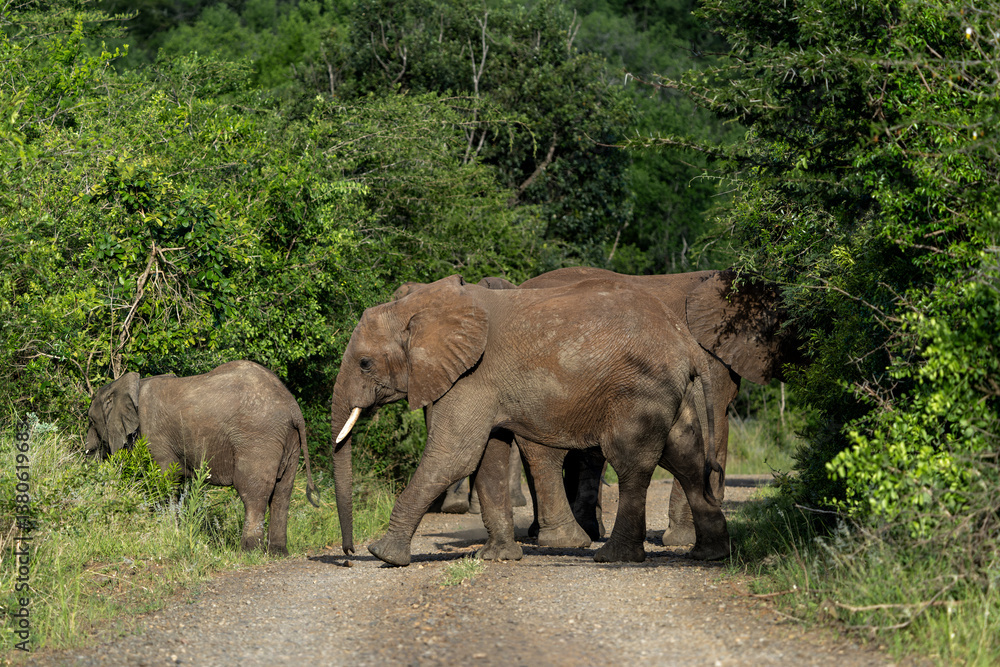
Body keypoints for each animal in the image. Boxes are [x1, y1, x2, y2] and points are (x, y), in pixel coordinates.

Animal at [85, 360, 319, 556]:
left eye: (91, 421)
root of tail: (293, 408)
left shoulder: (155, 437)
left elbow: (165, 481)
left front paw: (167, 532)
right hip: (290, 441)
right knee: (282, 493)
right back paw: (278, 552)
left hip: (258, 438)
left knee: (253, 492)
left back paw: (248, 552)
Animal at [330, 274, 728, 566]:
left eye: (364, 363)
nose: (348, 554)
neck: (419, 308)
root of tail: (686, 343)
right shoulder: (482, 385)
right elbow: (487, 458)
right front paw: (498, 558)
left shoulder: (471, 377)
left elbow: (453, 456)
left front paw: (384, 556)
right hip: (673, 392)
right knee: (686, 460)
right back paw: (709, 554)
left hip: (639, 390)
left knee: (631, 463)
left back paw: (613, 557)